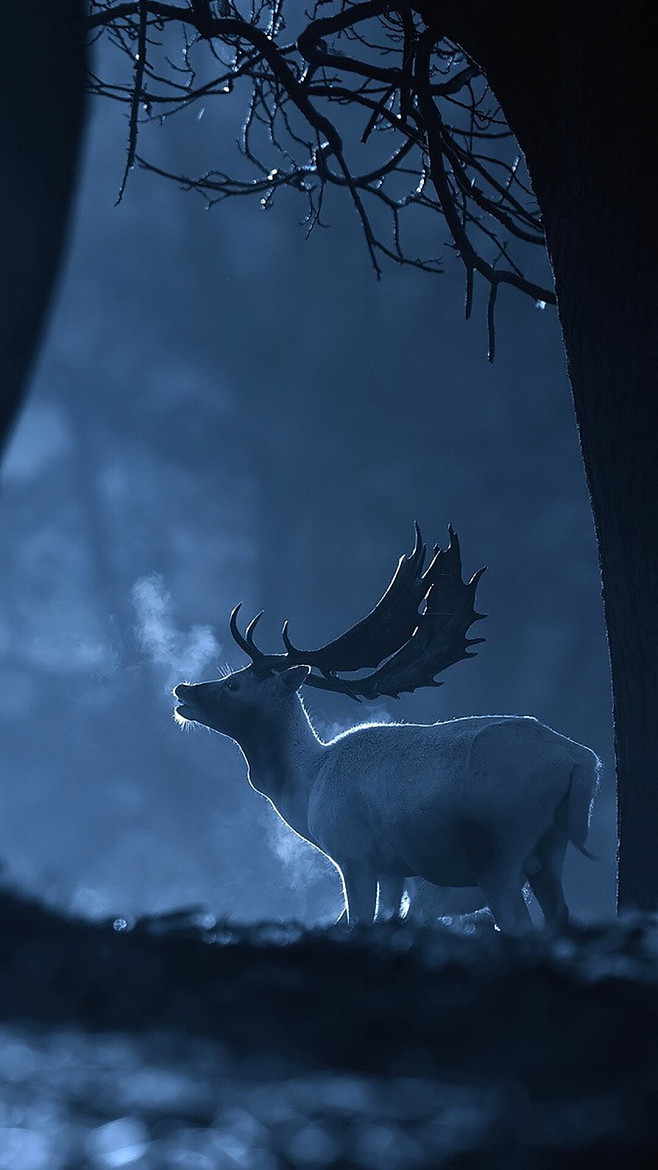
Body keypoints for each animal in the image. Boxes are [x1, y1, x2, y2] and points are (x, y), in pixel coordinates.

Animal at [173, 525, 600, 934]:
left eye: (233, 684)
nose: (183, 689)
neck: (306, 787)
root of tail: (581, 760)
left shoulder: (354, 854)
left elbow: (358, 920)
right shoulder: (393, 871)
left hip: (499, 844)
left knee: (516, 918)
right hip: (550, 848)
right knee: (558, 914)